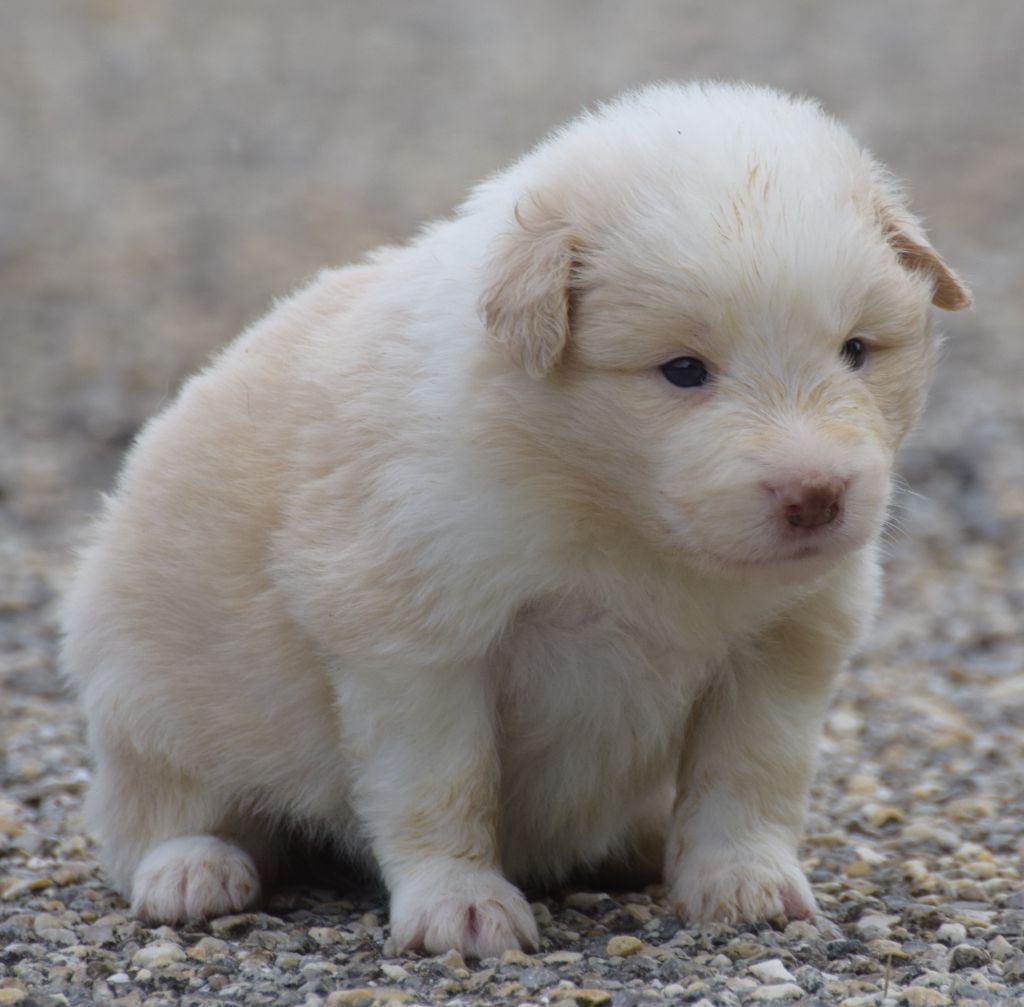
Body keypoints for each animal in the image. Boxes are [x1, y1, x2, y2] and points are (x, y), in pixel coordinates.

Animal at [63, 81, 970, 958]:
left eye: (857, 351)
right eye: (683, 371)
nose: (816, 495)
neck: (615, 510)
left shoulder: (786, 639)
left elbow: (751, 772)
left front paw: (743, 878)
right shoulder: (415, 640)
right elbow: (444, 784)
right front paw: (459, 904)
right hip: (148, 693)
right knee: (156, 813)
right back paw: (194, 869)